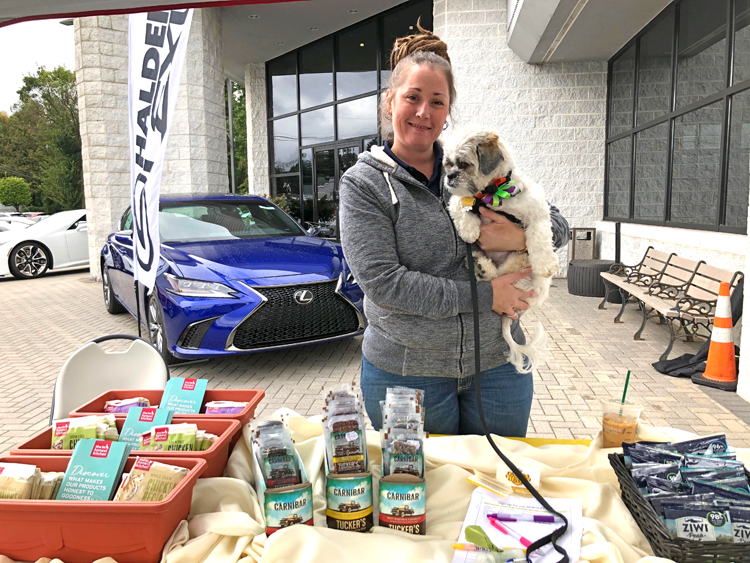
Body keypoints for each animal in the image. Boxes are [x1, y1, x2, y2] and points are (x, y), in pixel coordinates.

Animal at [444, 129, 560, 374]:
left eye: (464, 164)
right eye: (448, 164)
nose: (449, 176)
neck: (493, 192)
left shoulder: (537, 209)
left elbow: (539, 235)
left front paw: (546, 264)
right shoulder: (465, 199)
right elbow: (459, 202)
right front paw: (469, 230)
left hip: (519, 262)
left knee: (501, 276)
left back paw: (482, 267)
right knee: (494, 278)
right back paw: (480, 265)